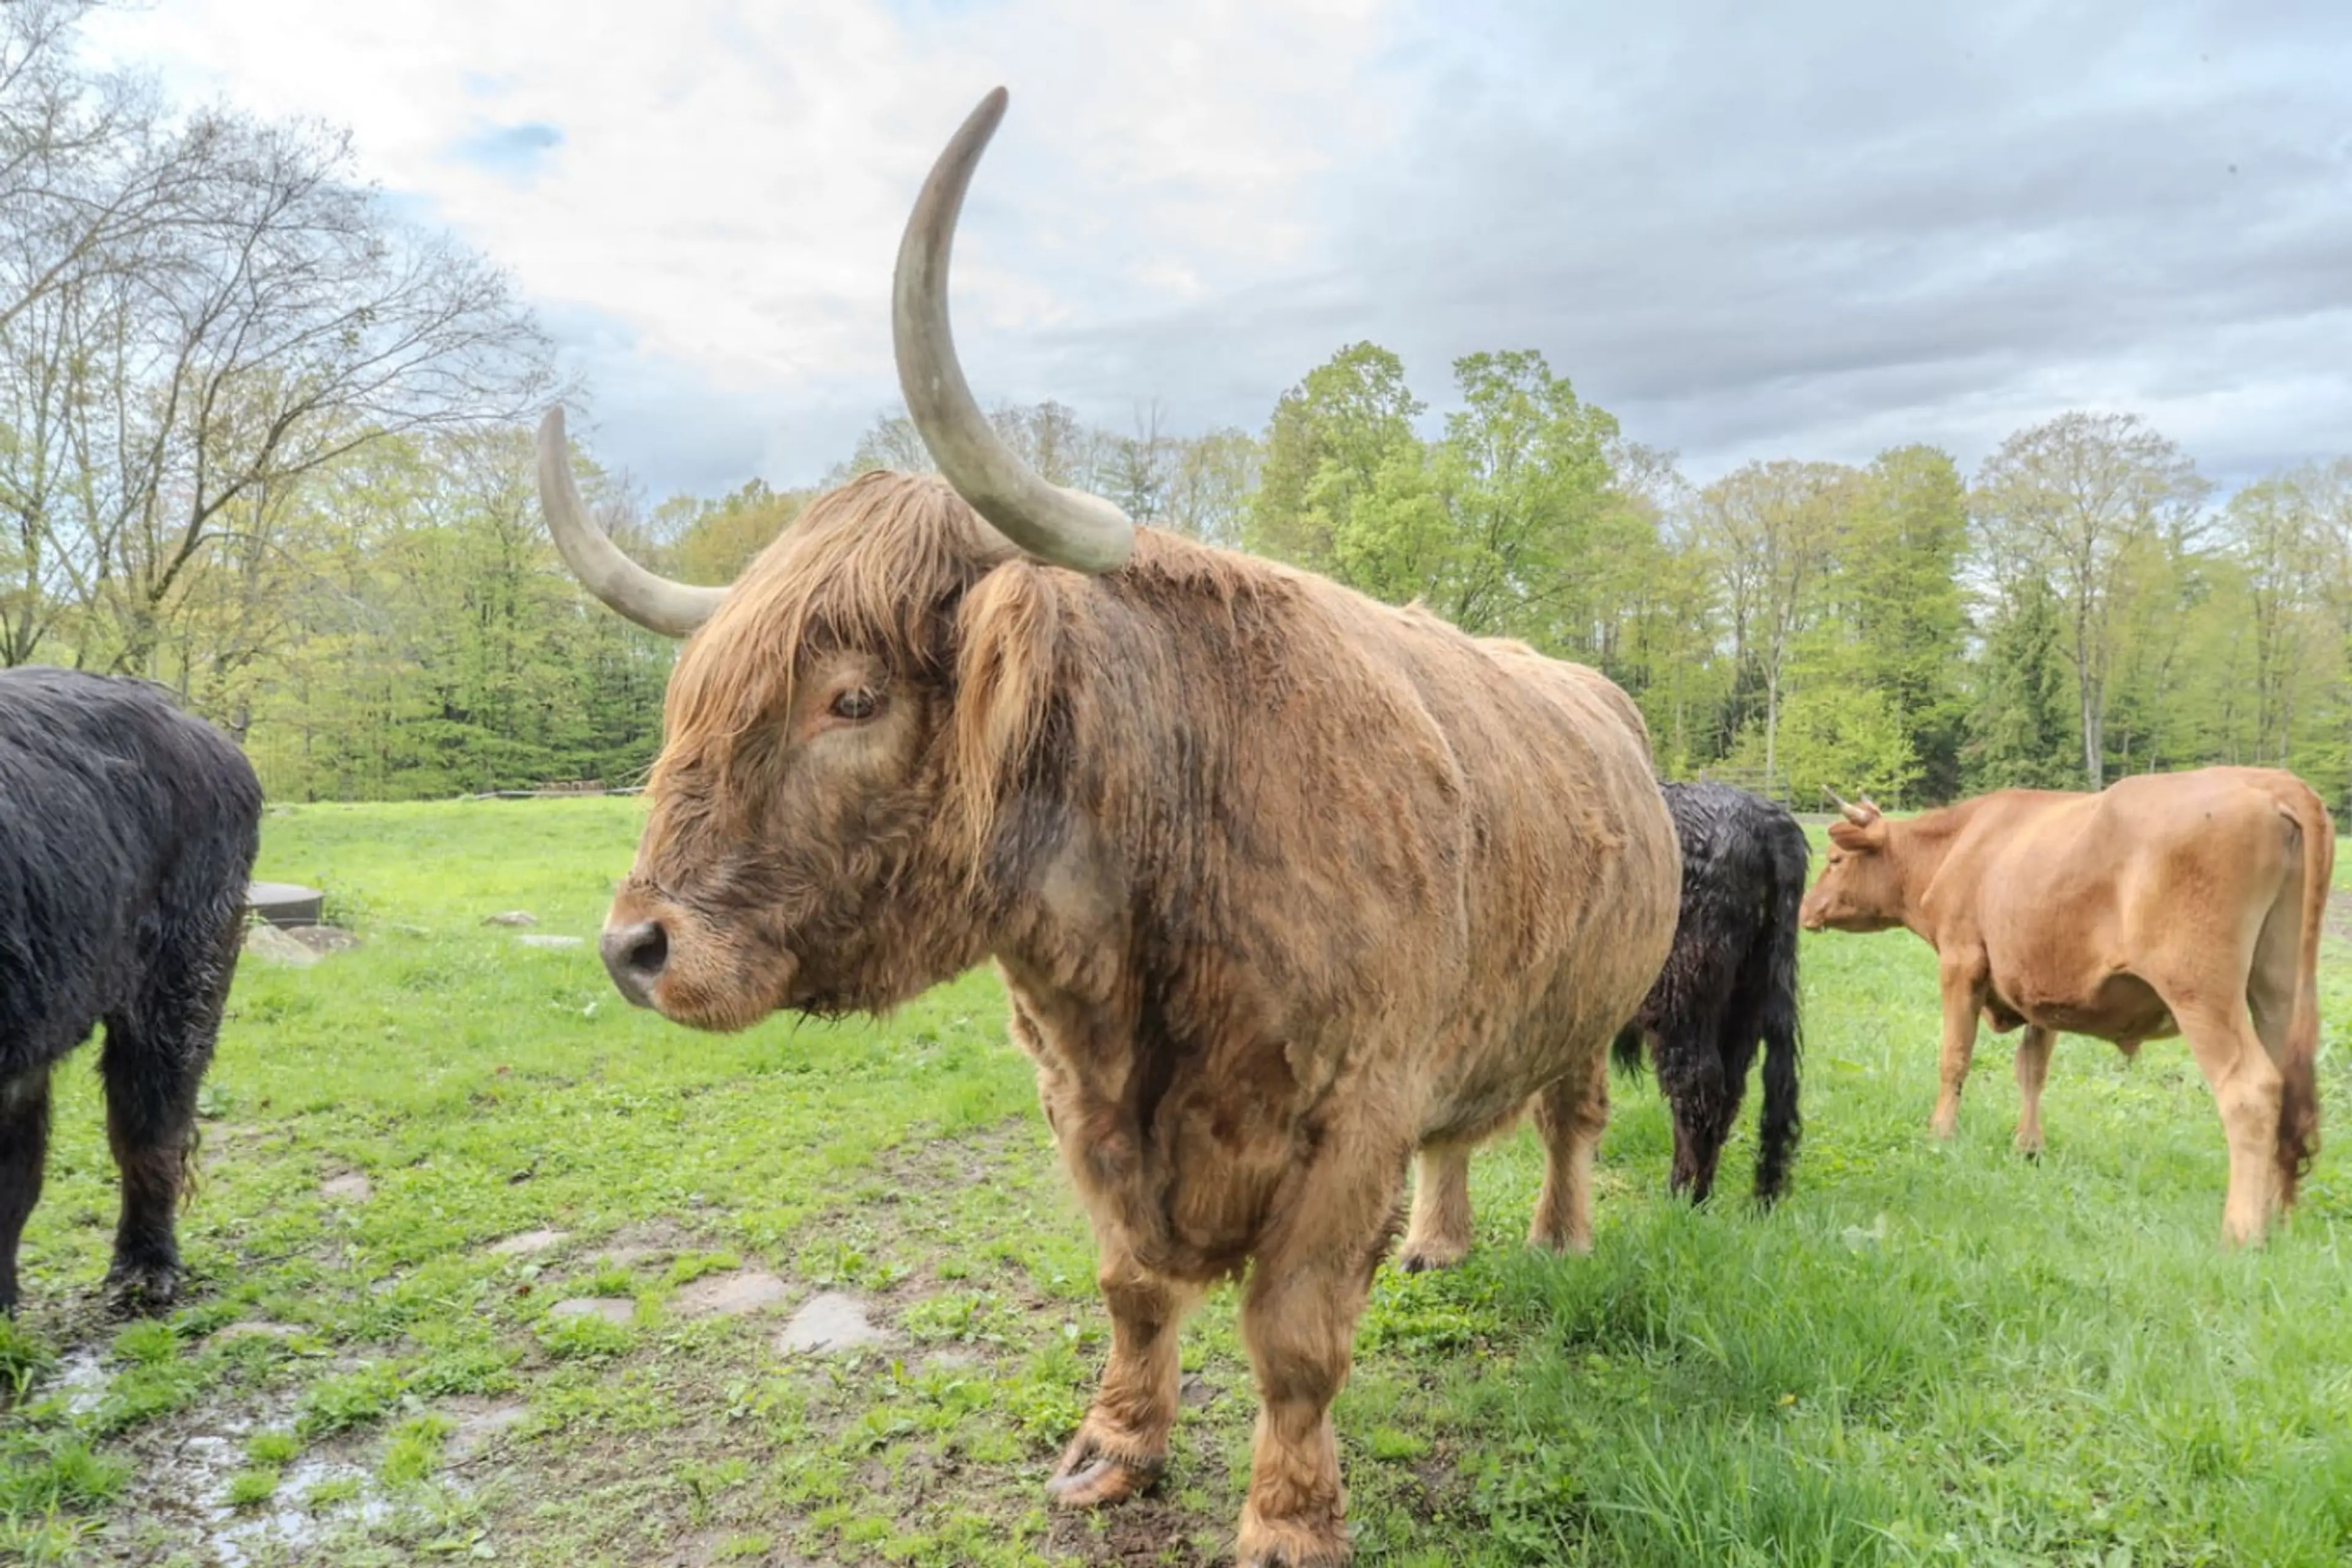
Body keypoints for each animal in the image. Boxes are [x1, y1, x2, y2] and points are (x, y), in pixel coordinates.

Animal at [536, 89, 1680, 1566]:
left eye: (852, 696)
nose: (635, 946)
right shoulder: (1081, 1104)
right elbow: (1133, 1285)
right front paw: (1114, 1451)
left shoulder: (1352, 1114)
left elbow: (1294, 1340)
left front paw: (1288, 1520)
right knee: (1462, 1136)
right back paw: (1438, 1243)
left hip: (1597, 1004)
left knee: (1569, 1120)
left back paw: (1560, 1239)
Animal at [1609, 782, 1807, 1207]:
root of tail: (1766, 819)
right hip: (1749, 994)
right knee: (1731, 1091)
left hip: (1682, 998)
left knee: (1698, 1085)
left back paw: (1683, 1197)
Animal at [1797, 768, 2330, 1247]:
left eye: (1835, 859)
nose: (1805, 910)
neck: (1962, 843)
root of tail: (2271, 781)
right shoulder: (2040, 987)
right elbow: (2032, 1068)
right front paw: (2028, 1147)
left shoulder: (1961, 961)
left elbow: (1955, 1057)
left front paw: (1940, 1133)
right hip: (2276, 991)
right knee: (2287, 1093)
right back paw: (2274, 1216)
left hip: (2201, 991)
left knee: (2250, 1090)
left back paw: (2242, 1232)